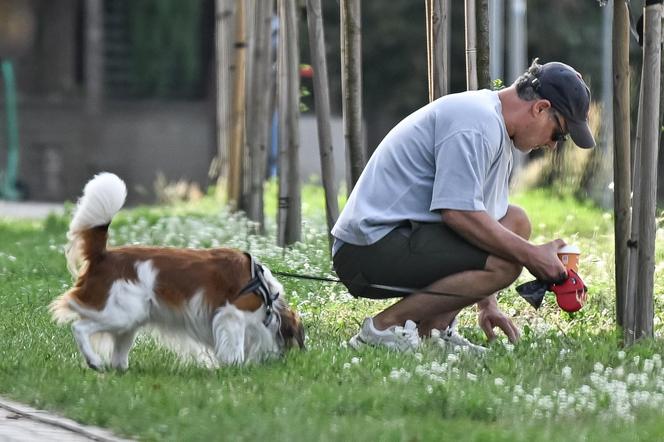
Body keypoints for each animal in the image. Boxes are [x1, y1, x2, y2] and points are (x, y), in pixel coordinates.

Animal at [51, 173, 306, 370]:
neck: (265, 293)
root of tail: (104, 255)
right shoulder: (231, 315)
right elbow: (235, 347)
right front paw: (235, 366)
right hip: (121, 313)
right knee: (79, 327)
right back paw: (94, 361)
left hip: (131, 319)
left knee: (118, 355)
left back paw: (121, 369)